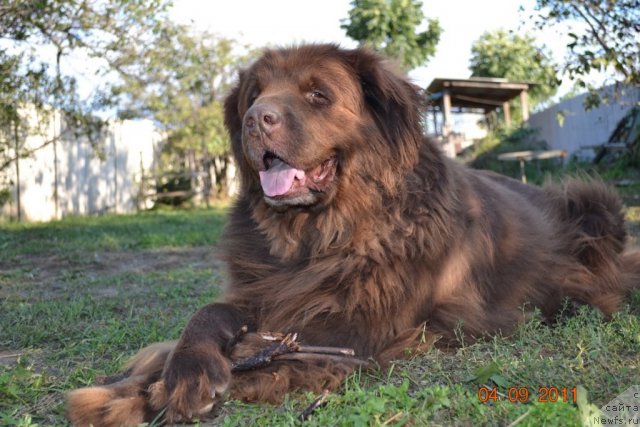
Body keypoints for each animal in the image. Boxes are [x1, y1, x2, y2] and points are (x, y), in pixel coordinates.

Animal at [66, 45, 640, 426]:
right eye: (254, 96)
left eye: (318, 94)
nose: (255, 119)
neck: (321, 236)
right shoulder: (262, 287)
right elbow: (207, 316)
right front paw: (176, 371)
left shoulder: (359, 325)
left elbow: (277, 352)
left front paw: (138, 394)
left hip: (596, 203)